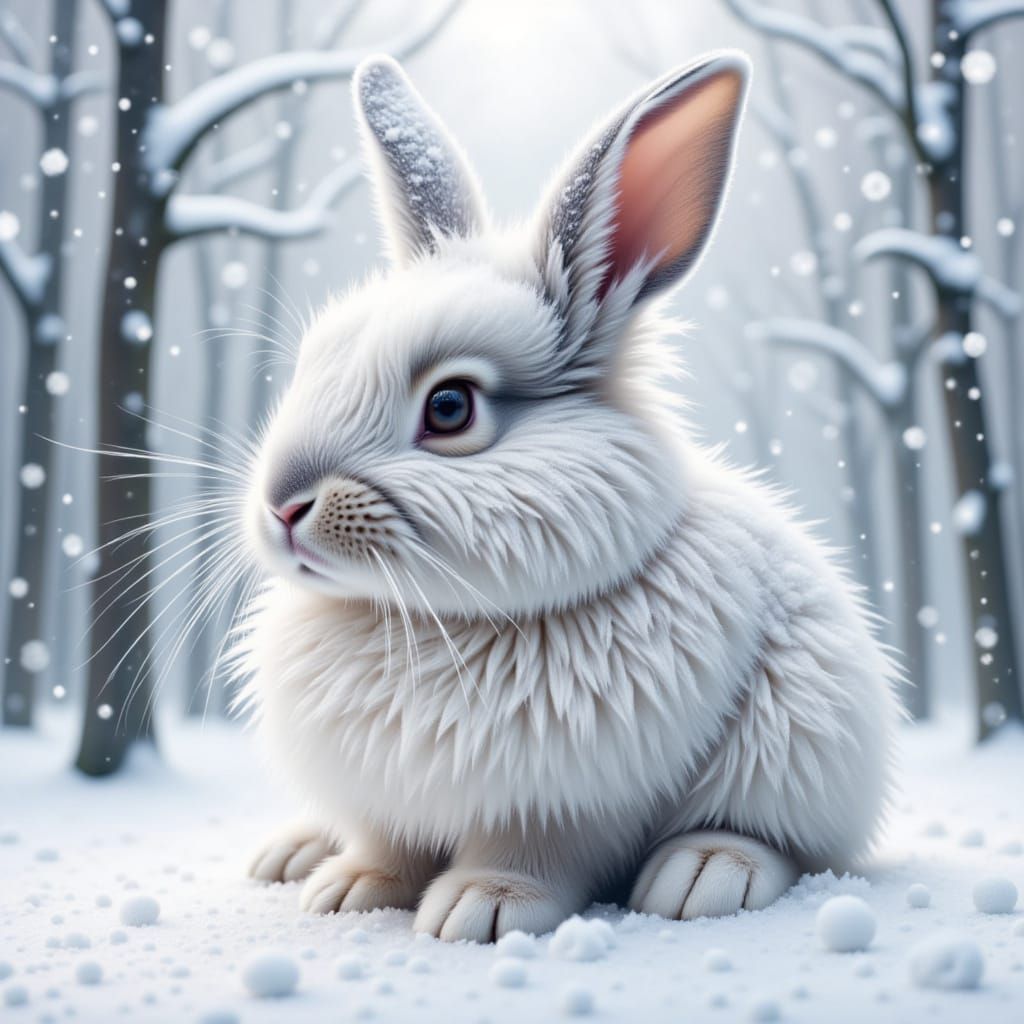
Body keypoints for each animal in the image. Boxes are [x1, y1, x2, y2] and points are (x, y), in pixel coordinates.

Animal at [236, 50, 901, 942]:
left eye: (451, 408)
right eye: (313, 362)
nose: (281, 507)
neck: (432, 621)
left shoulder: (567, 803)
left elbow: (536, 857)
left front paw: (480, 909)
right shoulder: (386, 798)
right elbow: (388, 845)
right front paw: (348, 889)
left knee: (780, 837)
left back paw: (705, 873)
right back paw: (297, 852)